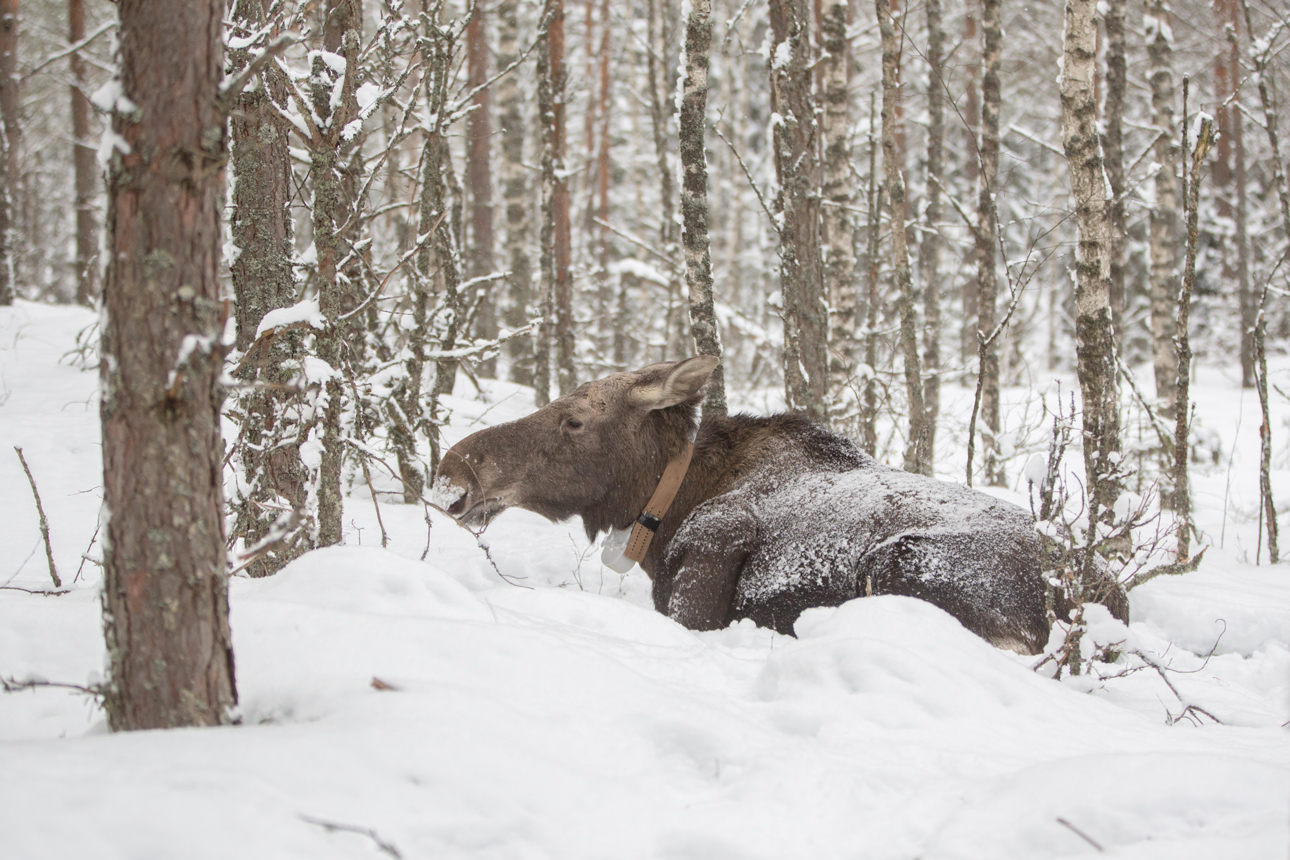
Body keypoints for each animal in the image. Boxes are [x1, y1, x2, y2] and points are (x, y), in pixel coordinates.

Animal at [436, 355, 1119, 652]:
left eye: (574, 420)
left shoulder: (709, 565)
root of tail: (1083, 591)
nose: (452, 473)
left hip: (899, 566)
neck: (674, 500)